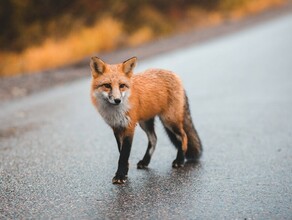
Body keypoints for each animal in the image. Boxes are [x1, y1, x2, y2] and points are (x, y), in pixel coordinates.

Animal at [90, 56, 202, 184]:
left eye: (122, 85)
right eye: (107, 85)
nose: (118, 100)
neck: (116, 112)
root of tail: (174, 74)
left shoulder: (129, 127)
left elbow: (124, 155)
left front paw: (120, 175)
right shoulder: (117, 128)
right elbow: (121, 153)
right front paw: (124, 172)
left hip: (169, 120)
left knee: (183, 137)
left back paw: (179, 160)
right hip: (145, 123)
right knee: (154, 139)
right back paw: (145, 161)